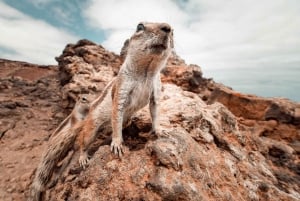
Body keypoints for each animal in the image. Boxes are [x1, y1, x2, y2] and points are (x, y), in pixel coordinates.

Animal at [29, 21, 173, 200]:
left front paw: (159, 130)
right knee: (82, 143)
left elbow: (155, 111)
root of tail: (86, 119)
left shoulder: (155, 92)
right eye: (140, 26)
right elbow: (116, 115)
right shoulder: (120, 92)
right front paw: (117, 143)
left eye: (172, 31)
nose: (167, 28)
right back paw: (84, 156)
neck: (146, 70)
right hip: (91, 130)